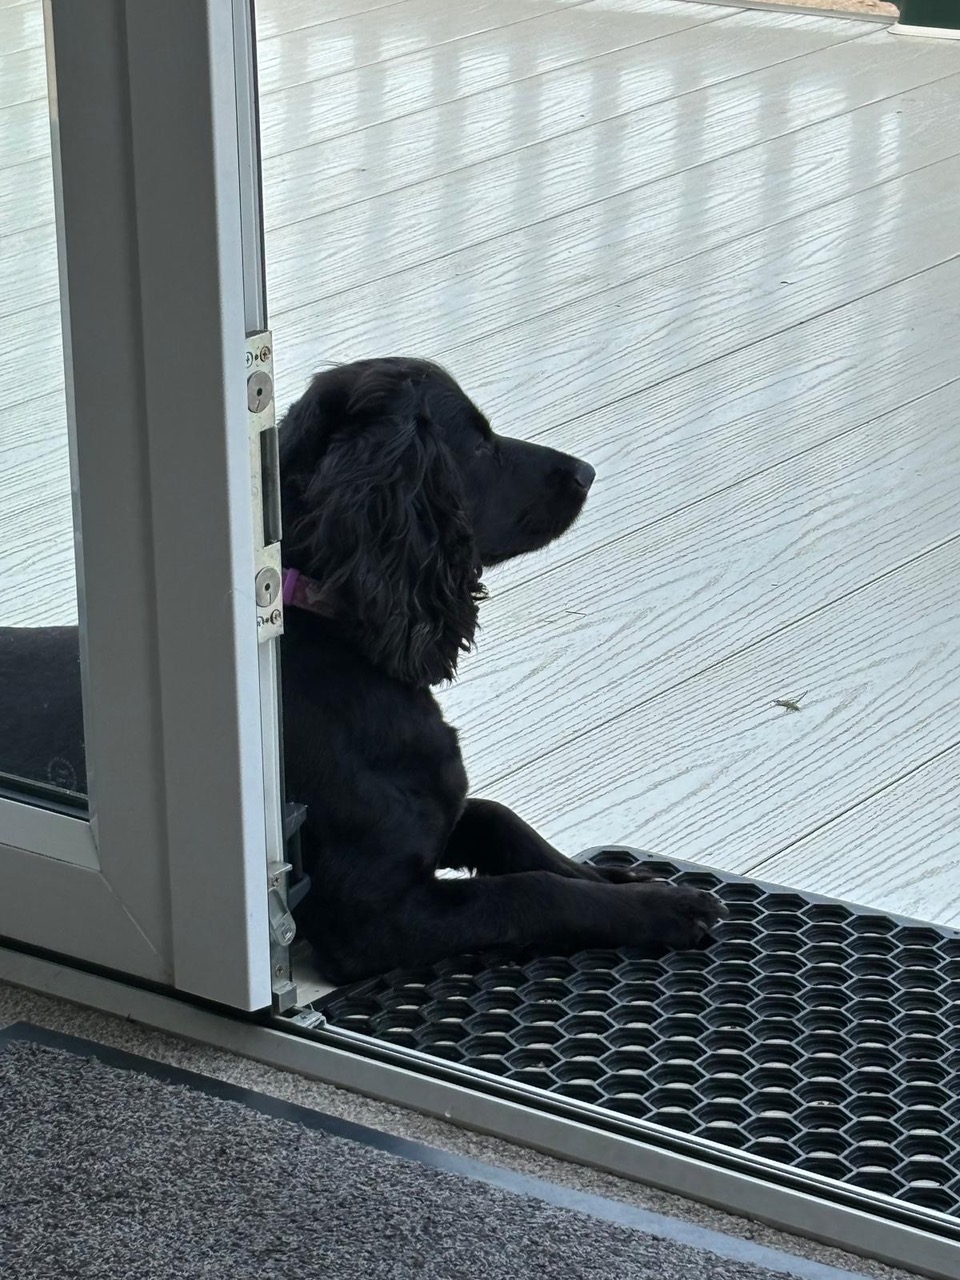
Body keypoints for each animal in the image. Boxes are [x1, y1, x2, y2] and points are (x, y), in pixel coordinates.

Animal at [277, 358, 721, 977]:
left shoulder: (446, 808)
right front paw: (663, 907)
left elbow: (501, 818)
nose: (586, 472)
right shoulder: (373, 918)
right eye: (479, 444)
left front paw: (616, 875)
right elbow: (529, 890)